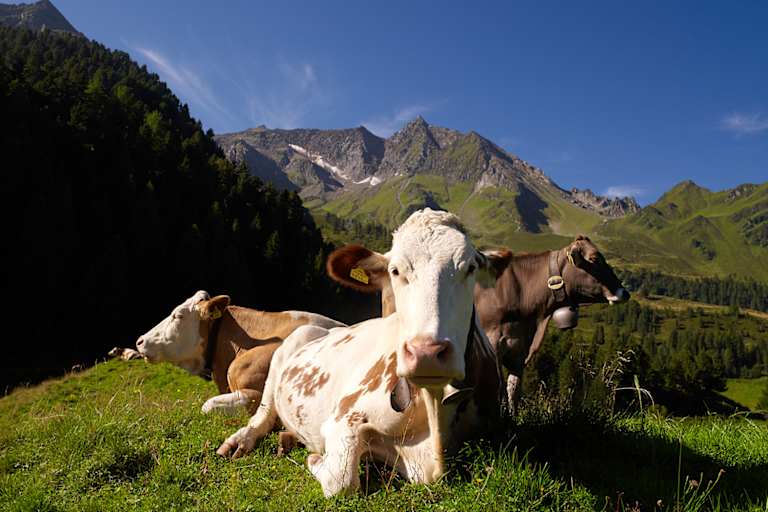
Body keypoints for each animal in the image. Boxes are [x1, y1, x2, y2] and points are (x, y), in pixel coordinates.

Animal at [215, 209, 506, 497]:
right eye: (395, 271)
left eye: (470, 268)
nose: (426, 353)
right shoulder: (343, 419)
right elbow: (341, 481)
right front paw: (315, 459)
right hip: (284, 353)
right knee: (262, 416)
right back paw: (239, 442)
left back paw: (287, 438)